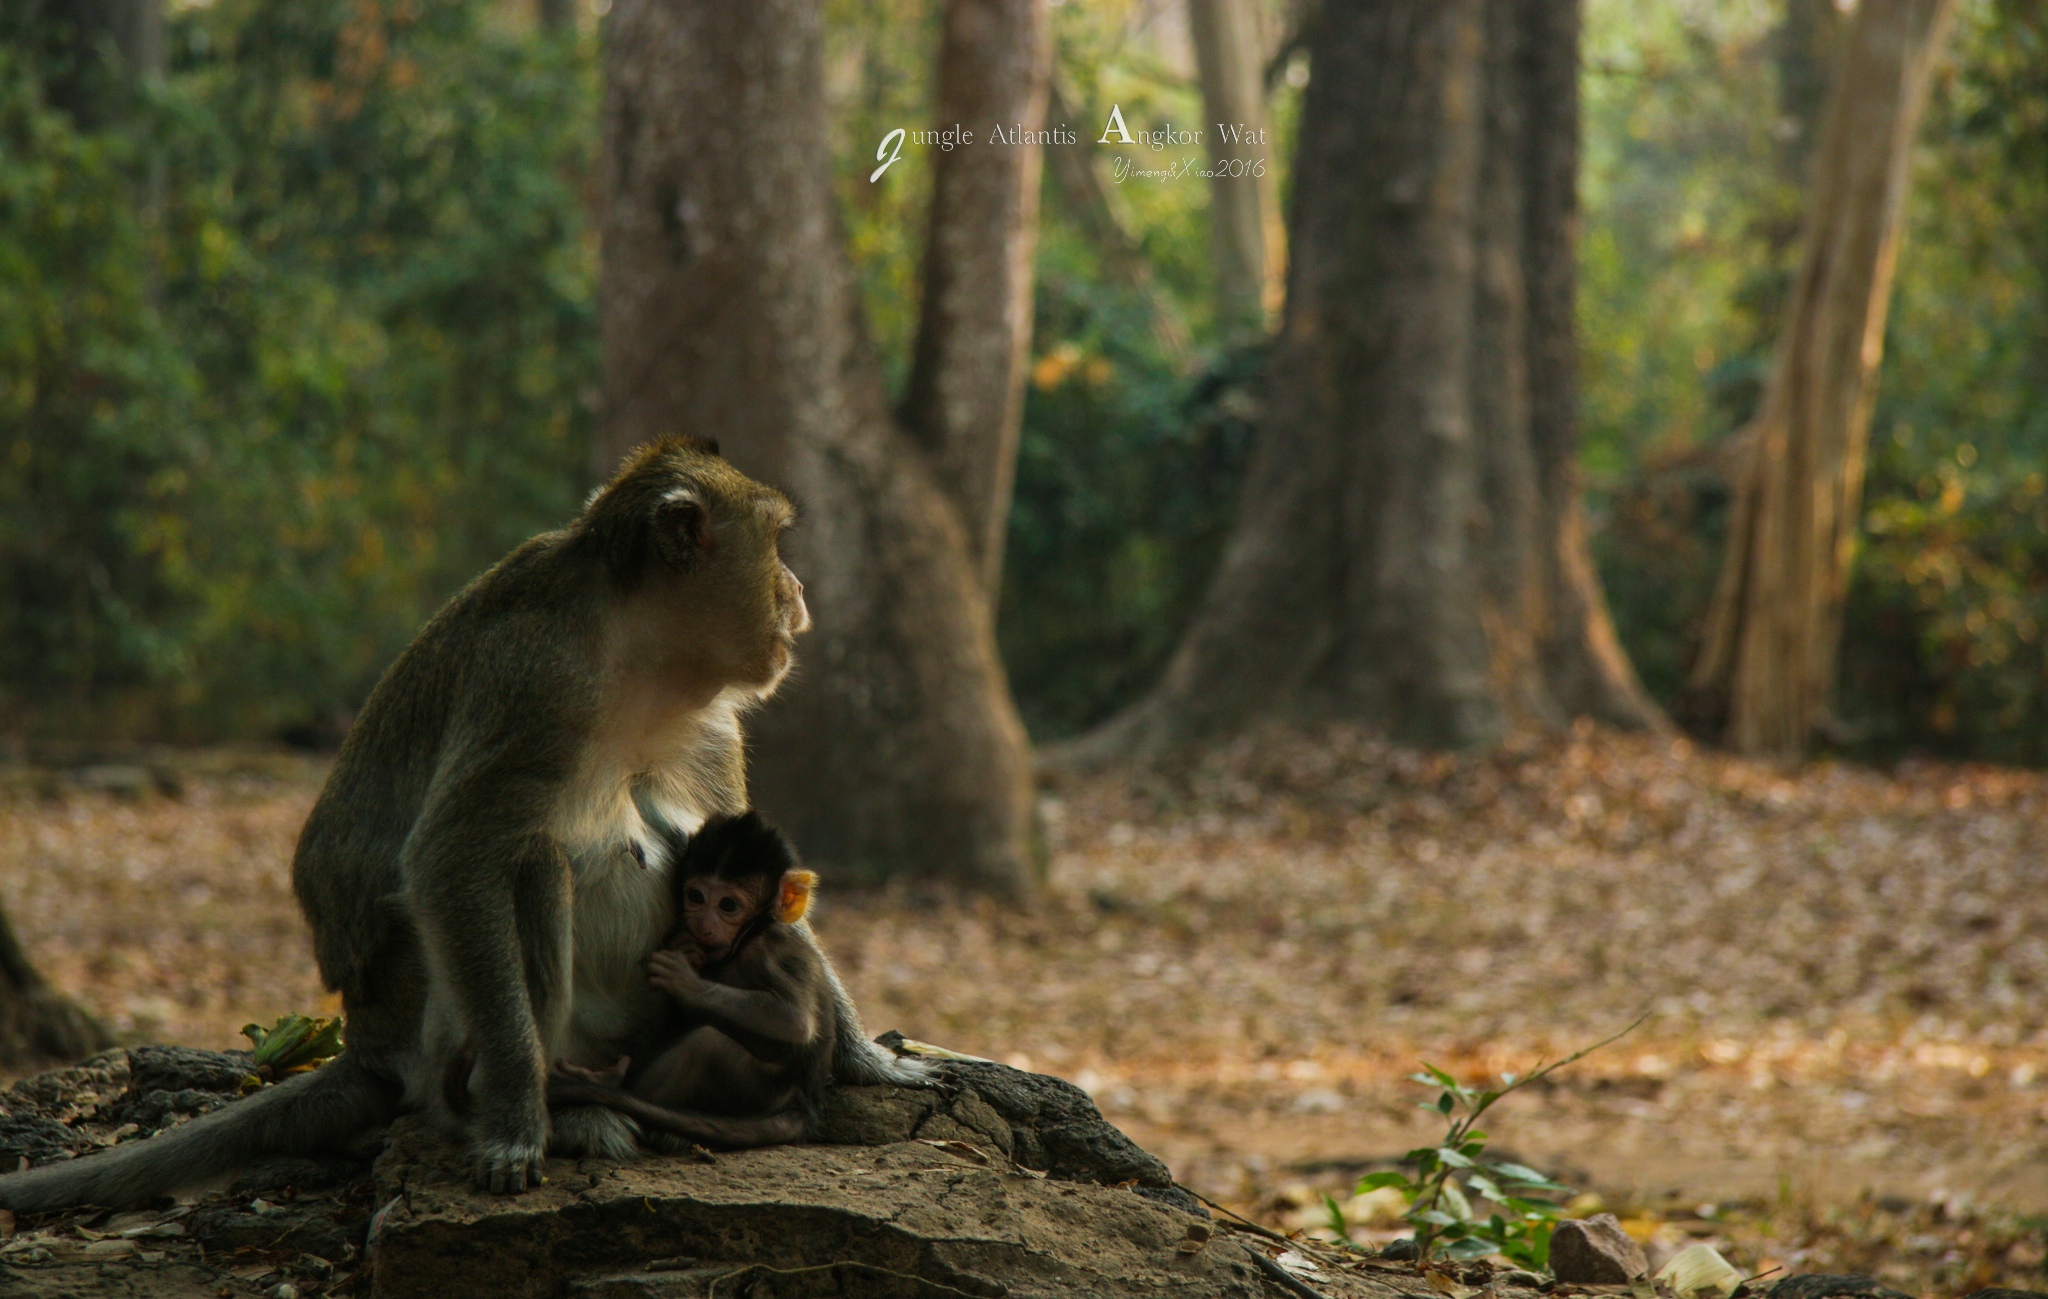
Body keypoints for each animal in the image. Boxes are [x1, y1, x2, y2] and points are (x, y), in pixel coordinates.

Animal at [544, 811, 839, 1139]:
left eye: (728, 905)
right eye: (695, 896)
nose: (703, 925)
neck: (750, 935)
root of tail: (804, 1106)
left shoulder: (767, 953)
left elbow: (794, 1022)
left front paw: (684, 979)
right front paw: (684, 948)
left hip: (758, 1090)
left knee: (705, 1044)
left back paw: (613, 1085)